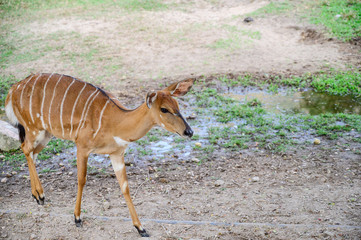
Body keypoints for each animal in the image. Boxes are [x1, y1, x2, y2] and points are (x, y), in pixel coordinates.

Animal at [4, 72, 194, 236]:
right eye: (164, 109)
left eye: (178, 106)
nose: (189, 132)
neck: (115, 121)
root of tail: (14, 88)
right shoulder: (82, 146)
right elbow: (81, 179)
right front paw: (77, 218)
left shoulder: (117, 153)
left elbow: (125, 186)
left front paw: (141, 228)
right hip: (33, 128)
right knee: (25, 148)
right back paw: (40, 195)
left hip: (46, 133)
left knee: (32, 153)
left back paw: (37, 196)